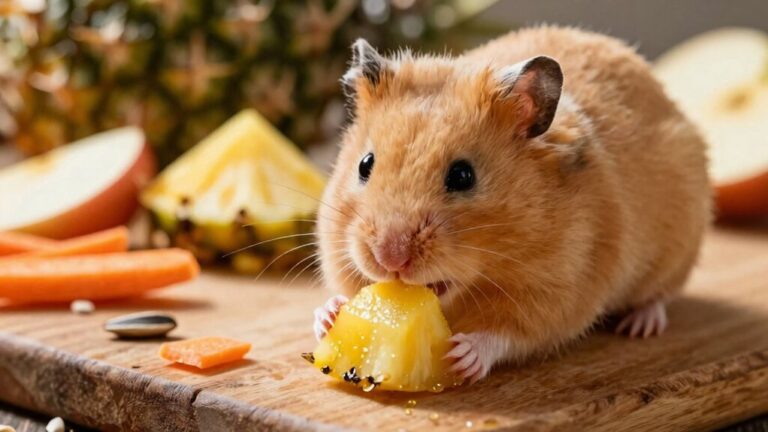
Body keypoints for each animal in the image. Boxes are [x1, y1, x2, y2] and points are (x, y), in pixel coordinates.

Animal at [313, 26, 712, 384]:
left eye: (463, 176)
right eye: (364, 164)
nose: (389, 258)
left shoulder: (560, 292)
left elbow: (507, 335)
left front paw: (463, 355)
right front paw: (329, 315)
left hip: (679, 246)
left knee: (659, 295)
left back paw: (640, 325)